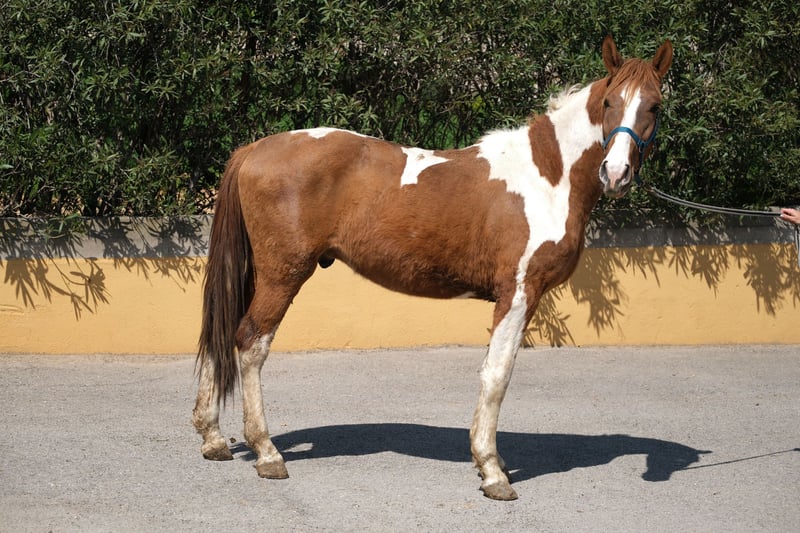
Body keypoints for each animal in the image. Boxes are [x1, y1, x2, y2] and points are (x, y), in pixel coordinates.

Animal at [193, 35, 673, 501]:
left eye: (654, 106)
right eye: (609, 102)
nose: (616, 173)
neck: (547, 176)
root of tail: (254, 148)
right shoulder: (519, 292)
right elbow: (497, 375)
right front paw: (492, 471)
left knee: (224, 330)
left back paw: (213, 438)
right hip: (283, 273)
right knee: (250, 341)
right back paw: (266, 452)